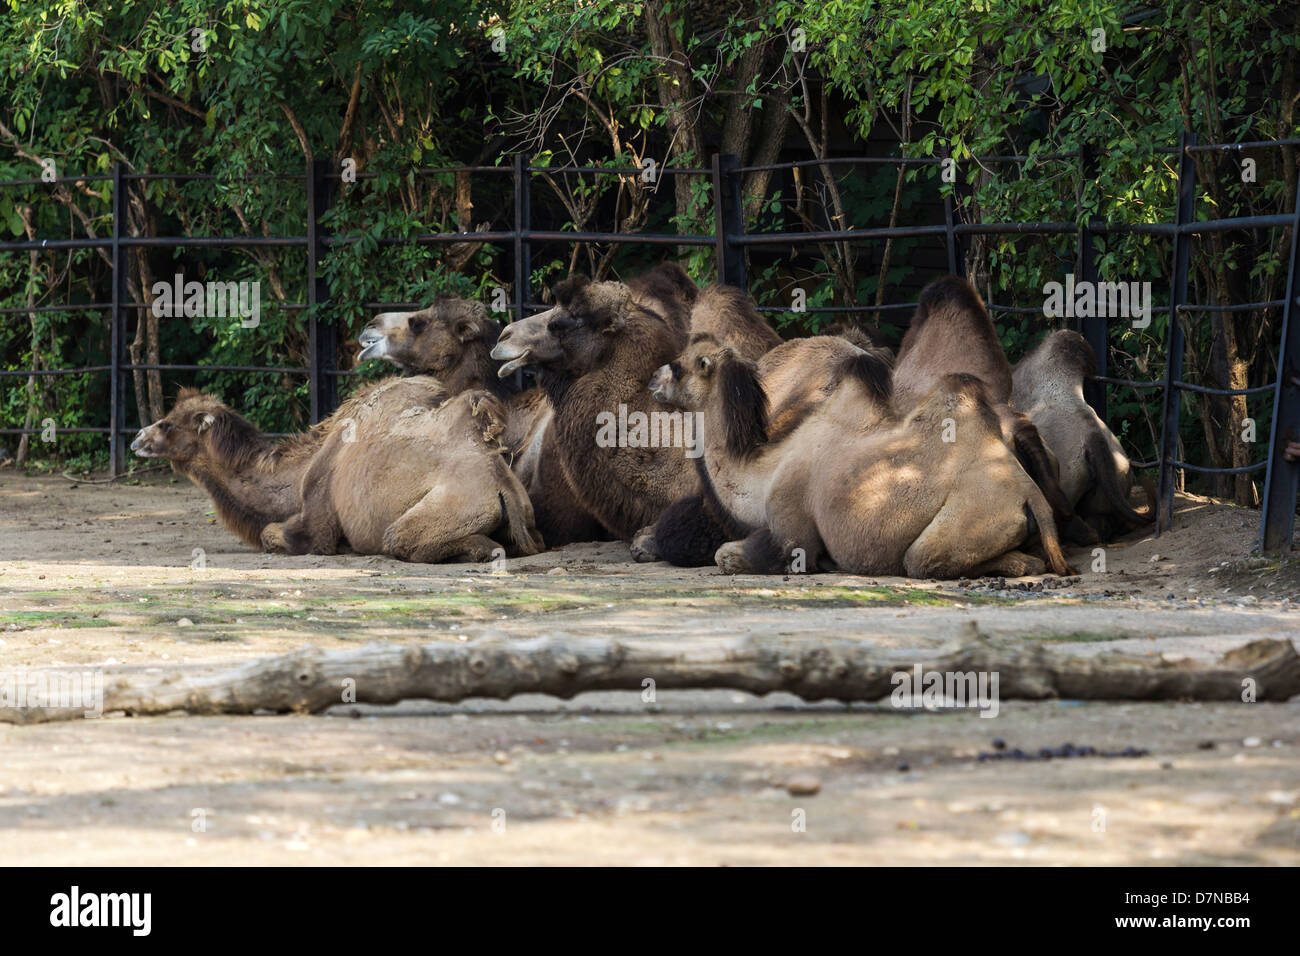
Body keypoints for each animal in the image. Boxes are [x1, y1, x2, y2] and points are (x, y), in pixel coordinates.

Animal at [129, 377, 540, 561]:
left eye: (167, 424)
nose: (136, 438)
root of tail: (502, 483)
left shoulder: (318, 523)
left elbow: (271, 534)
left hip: (448, 508)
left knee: (403, 539)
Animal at [647, 340, 1066, 580]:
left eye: (680, 366)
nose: (651, 379)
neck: (763, 473)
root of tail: (1028, 491)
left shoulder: (791, 525)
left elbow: (729, 555)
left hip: (972, 515)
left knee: (922, 559)